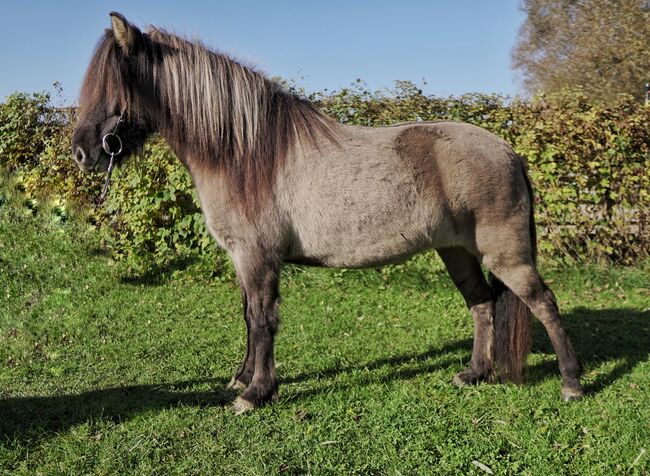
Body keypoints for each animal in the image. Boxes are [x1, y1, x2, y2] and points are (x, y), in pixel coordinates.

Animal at [72, 12, 584, 412]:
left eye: (112, 86)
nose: (81, 152)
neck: (245, 153)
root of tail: (509, 152)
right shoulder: (243, 260)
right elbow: (248, 316)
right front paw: (243, 377)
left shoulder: (258, 258)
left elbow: (264, 319)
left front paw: (256, 392)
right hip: (456, 251)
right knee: (481, 303)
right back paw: (472, 373)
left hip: (506, 253)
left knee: (543, 302)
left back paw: (572, 383)